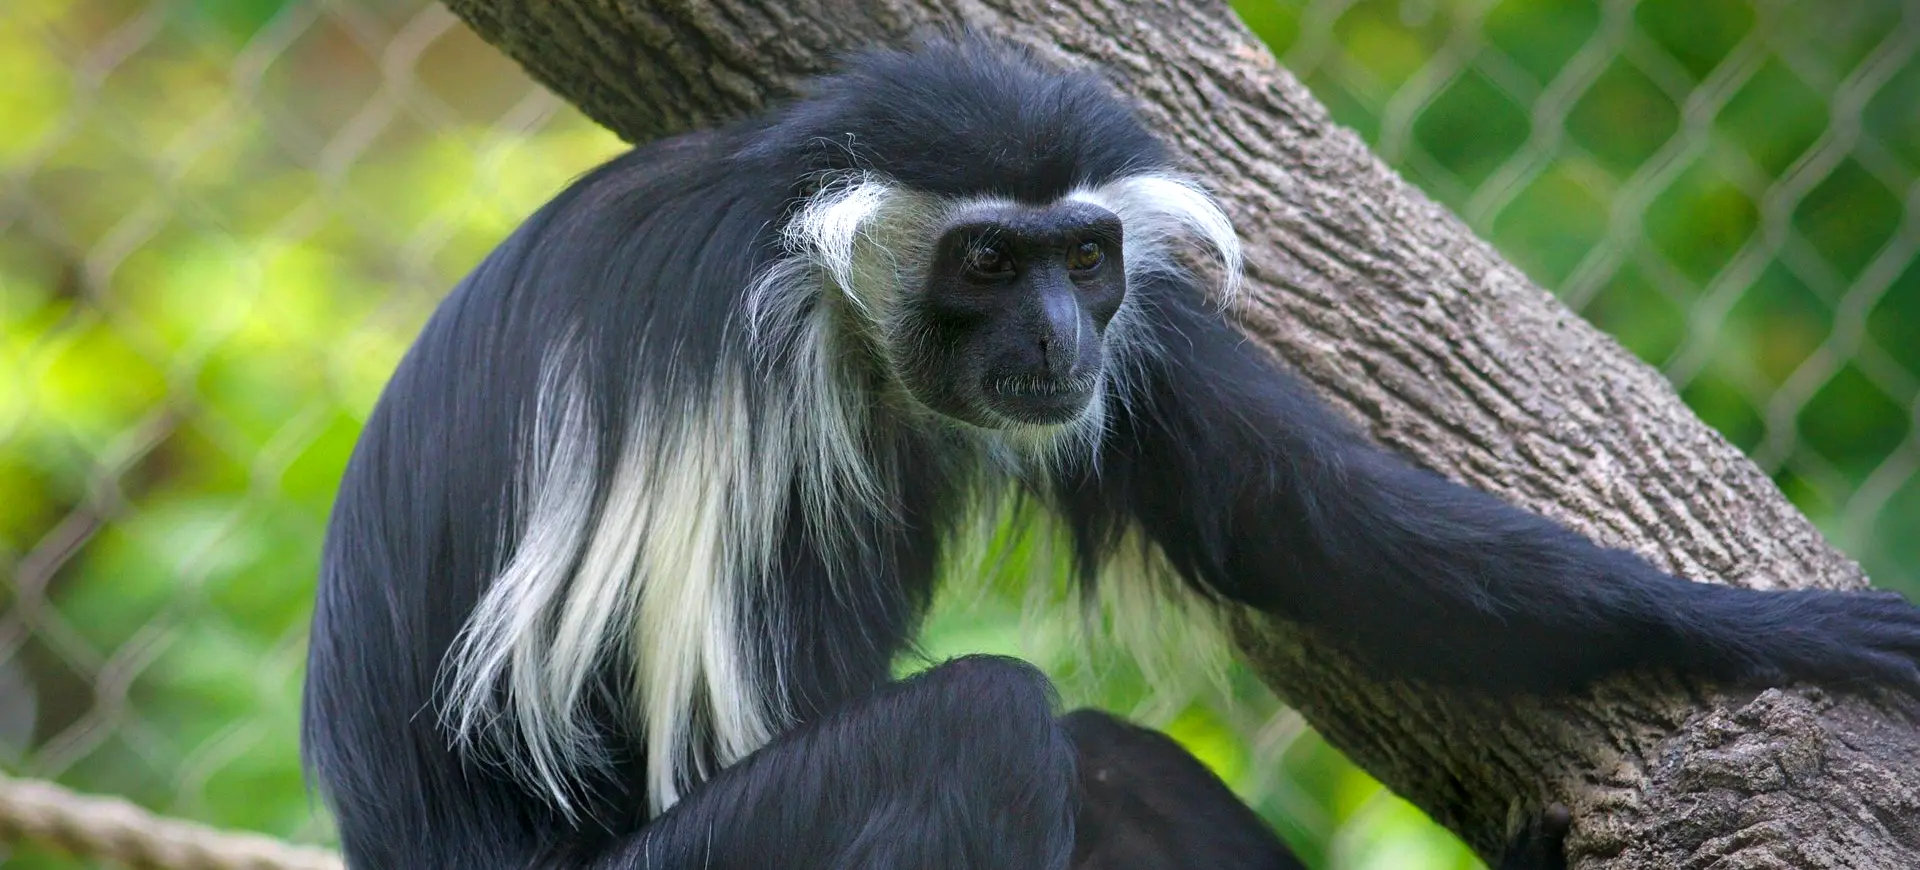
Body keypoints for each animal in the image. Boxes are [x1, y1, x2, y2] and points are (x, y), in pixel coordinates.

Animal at [299, 37, 1920, 868]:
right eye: (987, 262)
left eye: (1081, 258)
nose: (1063, 336)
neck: (827, 289)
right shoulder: (728, 364)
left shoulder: (1133, 332)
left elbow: (1293, 521)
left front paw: (1778, 625)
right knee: (991, 726)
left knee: (1107, 759)